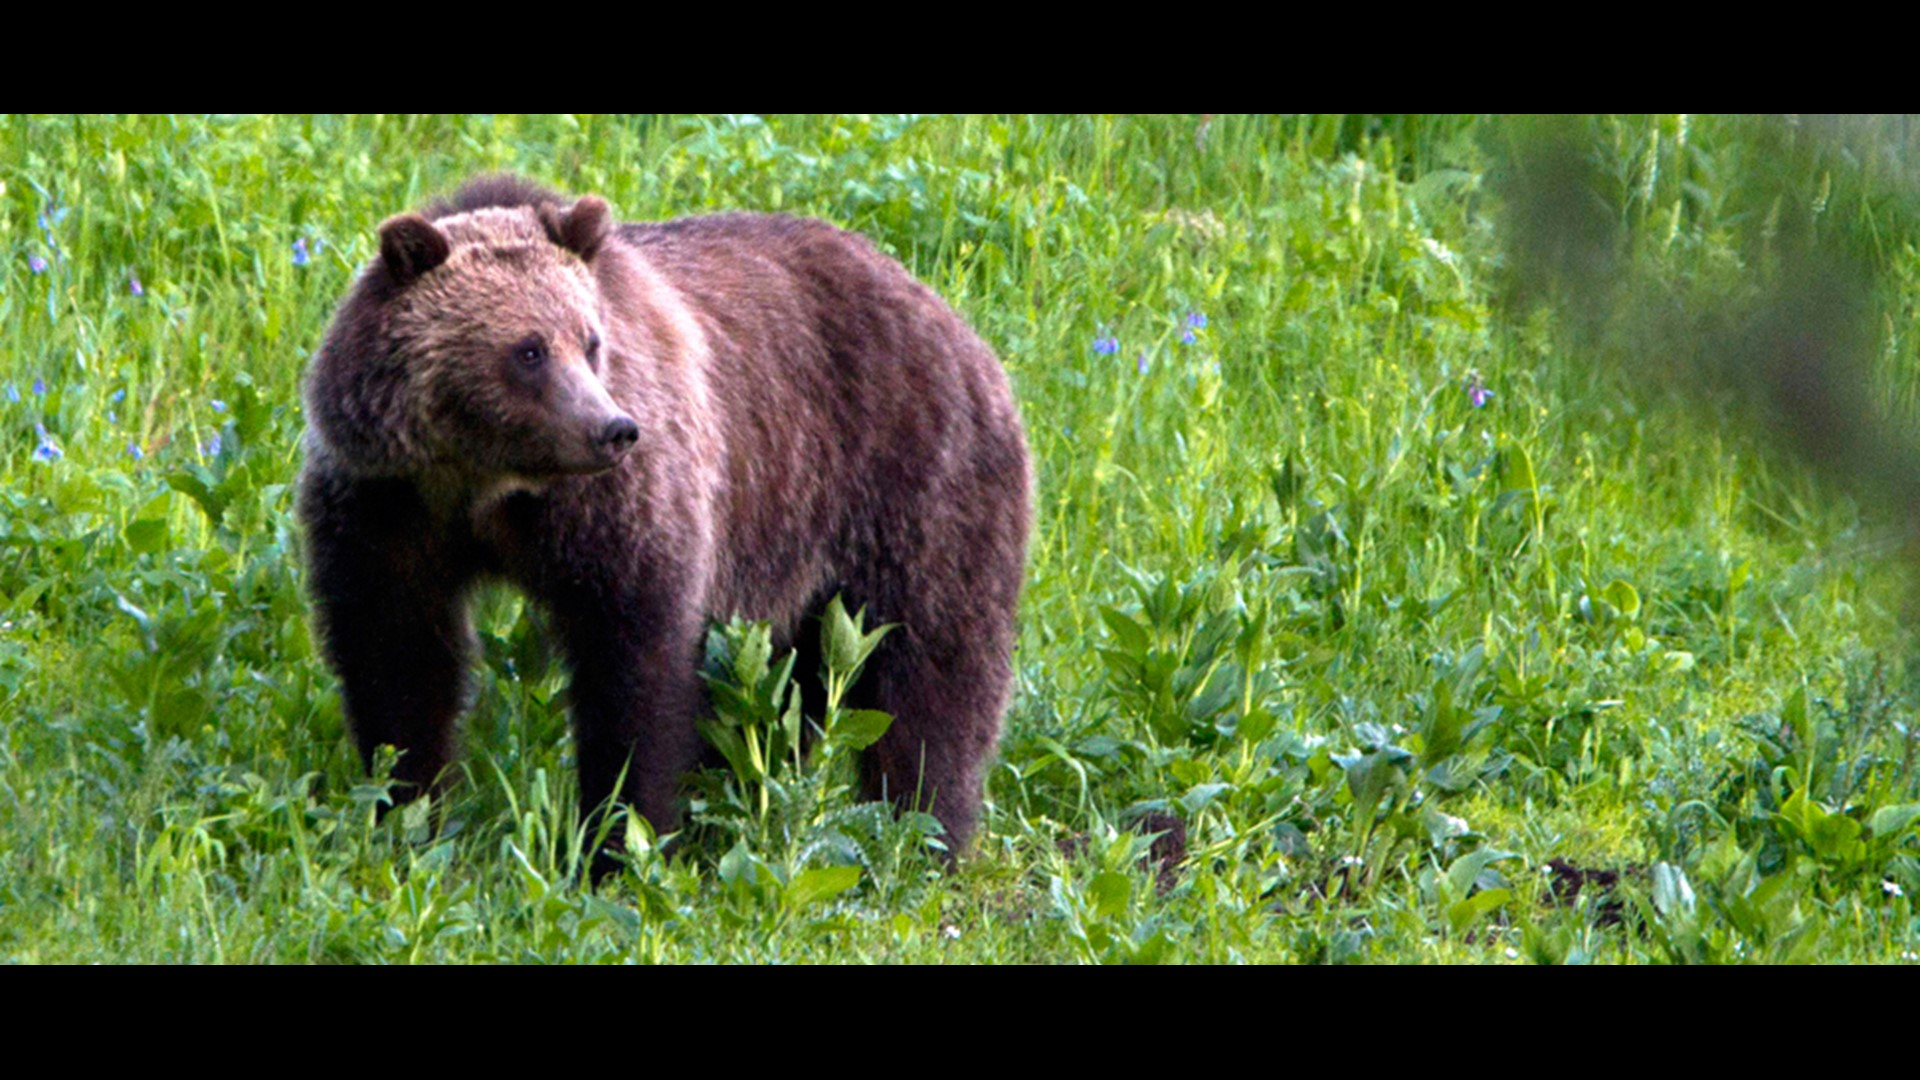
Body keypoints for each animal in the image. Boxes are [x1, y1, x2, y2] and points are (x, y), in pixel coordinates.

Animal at [295, 174, 1036, 864]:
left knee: (932, 668)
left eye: (590, 342)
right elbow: (397, 656)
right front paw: (407, 811)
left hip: (912, 482)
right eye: (529, 350)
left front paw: (620, 838)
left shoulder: (617, 511)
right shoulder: (388, 507)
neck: (485, 484)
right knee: (794, 685)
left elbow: (635, 666)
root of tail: (951, 316)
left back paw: (925, 831)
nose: (612, 429)